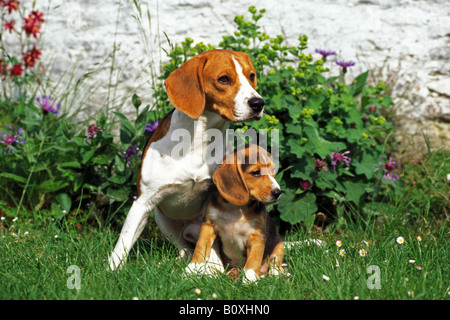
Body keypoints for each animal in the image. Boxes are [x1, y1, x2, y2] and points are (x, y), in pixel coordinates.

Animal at [108, 49, 264, 270]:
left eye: (251, 76)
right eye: (223, 79)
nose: (258, 103)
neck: (200, 141)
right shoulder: (143, 202)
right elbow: (124, 240)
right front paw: (111, 270)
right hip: (162, 219)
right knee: (184, 248)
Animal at [186, 145, 284, 282]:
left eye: (273, 170)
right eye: (256, 172)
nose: (278, 192)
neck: (236, 209)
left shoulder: (257, 235)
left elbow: (253, 259)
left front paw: (249, 279)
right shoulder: (208, 225)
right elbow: (200, 246)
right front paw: (192, 268)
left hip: (279, 245)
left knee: (276, 265)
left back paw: (277, 275)